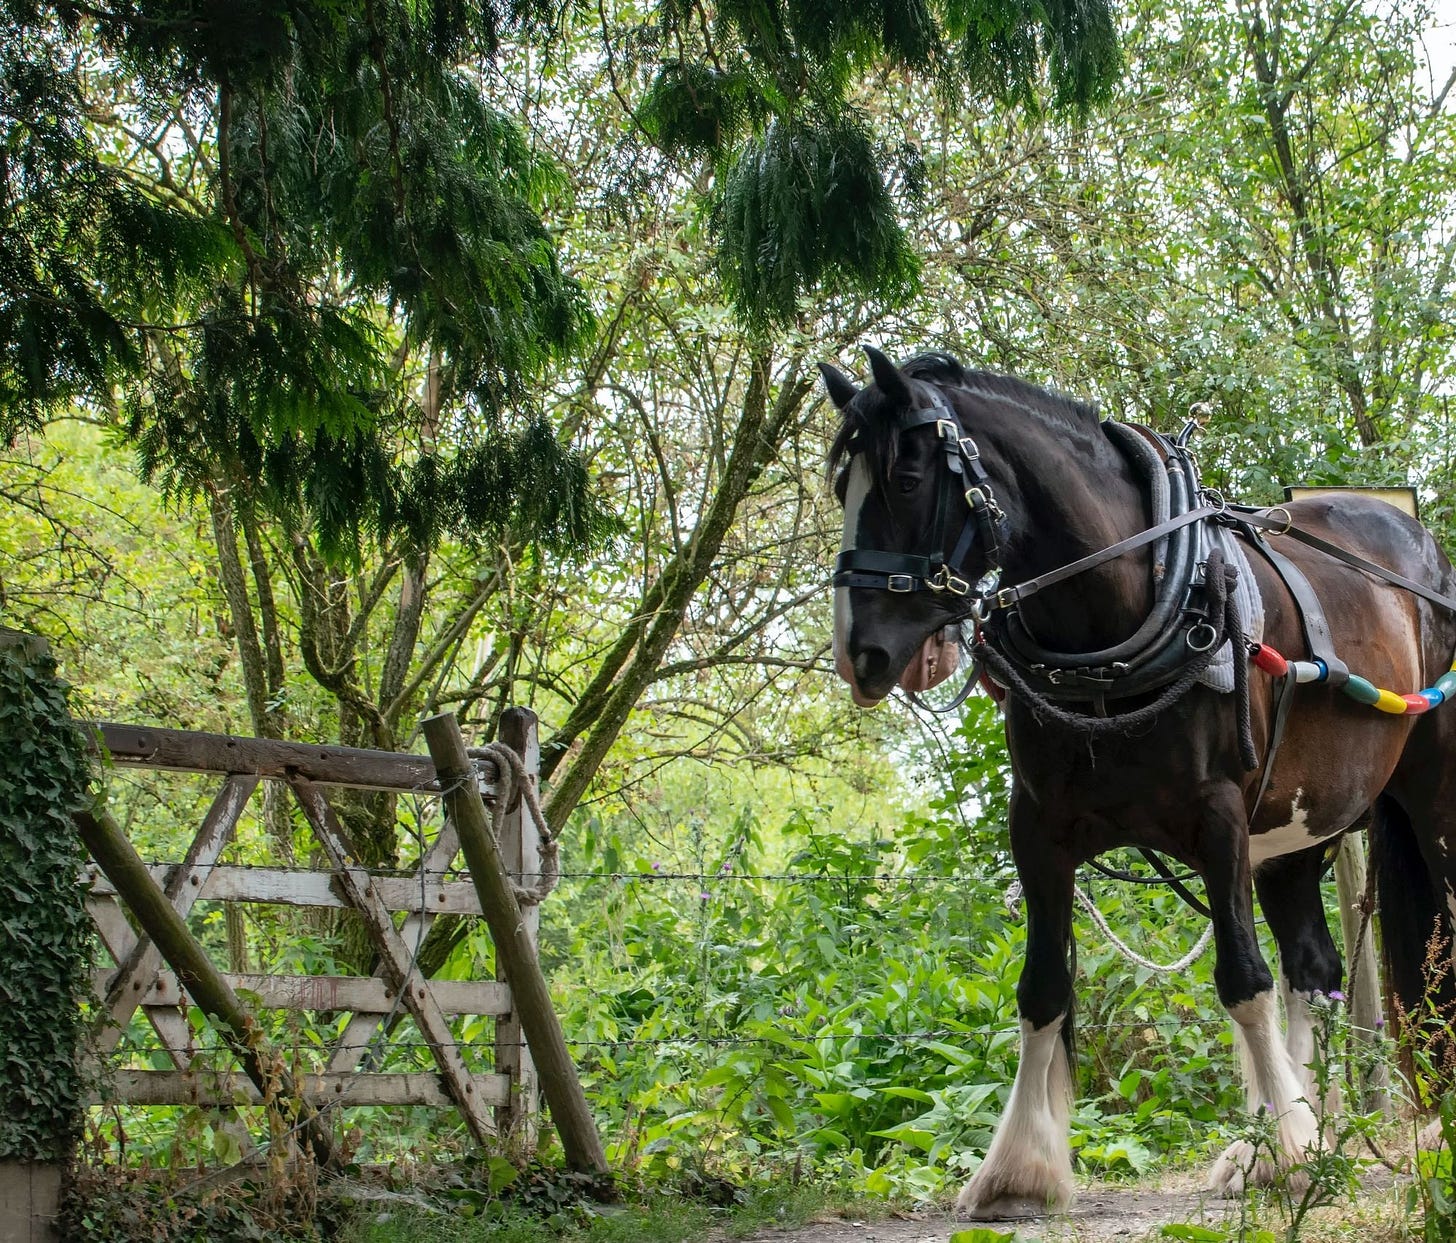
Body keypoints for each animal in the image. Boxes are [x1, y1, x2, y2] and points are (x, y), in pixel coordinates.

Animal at [827, 344, 1456, 1222]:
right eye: (838, 486)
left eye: (908, 477)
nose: (860, 654)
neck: (1130, 608)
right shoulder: (1040, 830)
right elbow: (1043, 989)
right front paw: (1017, 1170)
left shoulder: (1219, 821)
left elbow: (1243, 981)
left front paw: (1284, 1145)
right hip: (1298, 836)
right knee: (1315, 969)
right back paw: (1309, 1132)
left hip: (1428, 801)